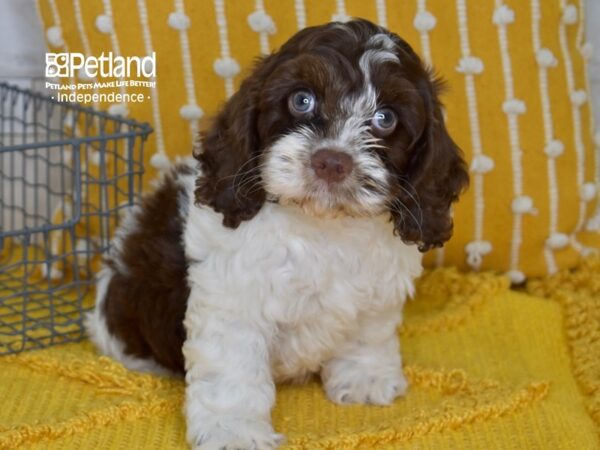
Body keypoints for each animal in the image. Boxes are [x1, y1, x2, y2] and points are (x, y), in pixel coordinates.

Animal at [85, 18, 468, 450]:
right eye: (301, 100)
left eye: (386, 118)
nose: (331, 161)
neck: (322, 226)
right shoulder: (233, 302)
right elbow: (233, 371)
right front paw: (233, 431)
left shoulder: (378, 291)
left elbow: (368, 332)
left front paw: (364, 378)